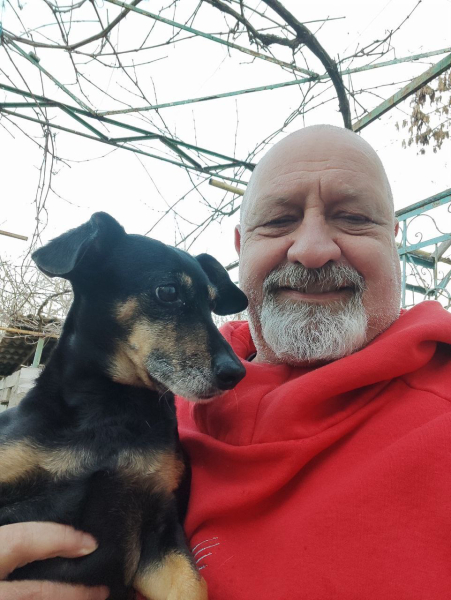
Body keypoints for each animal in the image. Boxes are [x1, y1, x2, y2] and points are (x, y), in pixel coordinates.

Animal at [0, 212, 248, 600]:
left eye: (212, 304)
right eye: (168, 292)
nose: (236, 373)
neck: (112, 410)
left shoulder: (160, 529)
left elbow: (192, 585)